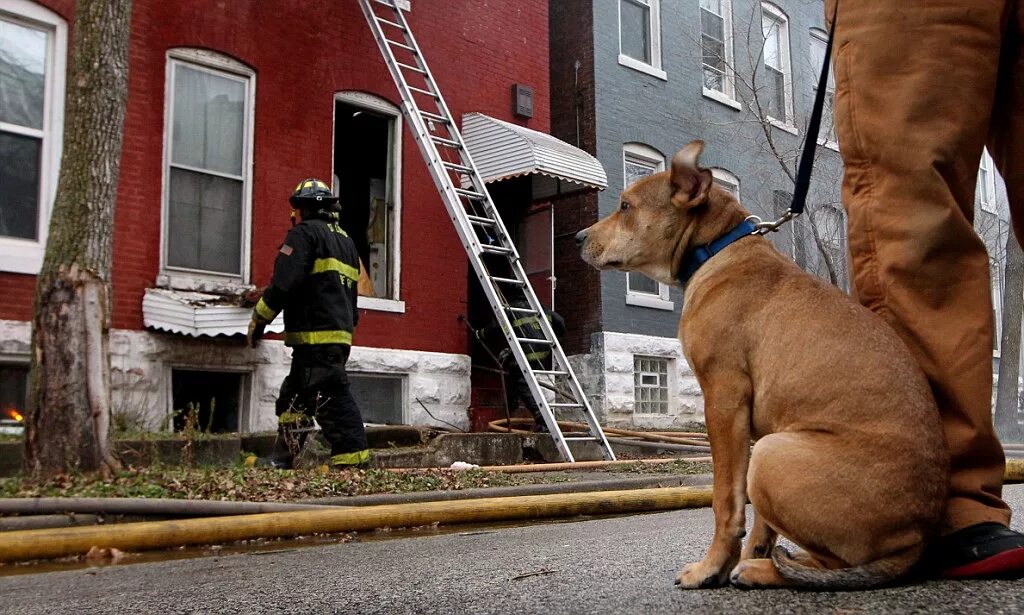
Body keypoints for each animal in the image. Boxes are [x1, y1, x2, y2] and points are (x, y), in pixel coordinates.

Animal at [577, 141, 950, 589]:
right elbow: (760, 519)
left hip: (773, 453)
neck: (717, 247)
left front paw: (711, 568)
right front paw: (745, 554)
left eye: (626, 205)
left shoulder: (723, 401)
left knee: (831, 561)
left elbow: (726, 500)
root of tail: (916, 539)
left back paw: (765, 570)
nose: (578, 238)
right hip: (771, 449)